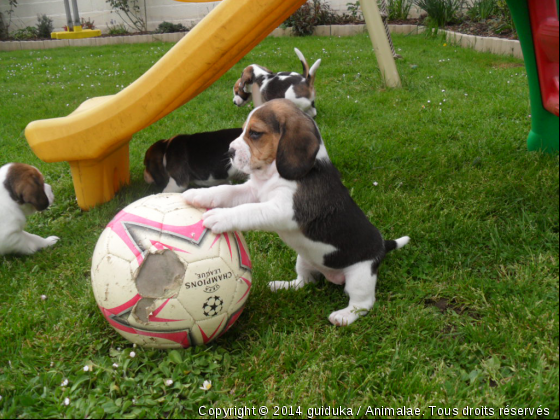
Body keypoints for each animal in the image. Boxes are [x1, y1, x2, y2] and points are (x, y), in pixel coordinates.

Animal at [186, 100, 410, 326]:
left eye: (255, 133)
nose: (230, 151)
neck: (273, 173)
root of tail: (383, 245)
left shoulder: (284, 210)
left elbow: (249, 210)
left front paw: (220, 216)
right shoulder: (253, 191)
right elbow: (226, 191)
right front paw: (198, 194)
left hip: (360, 275)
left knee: (363, 303)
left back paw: (344, 316)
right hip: (303, 260)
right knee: (305, 283)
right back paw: (283, 286)